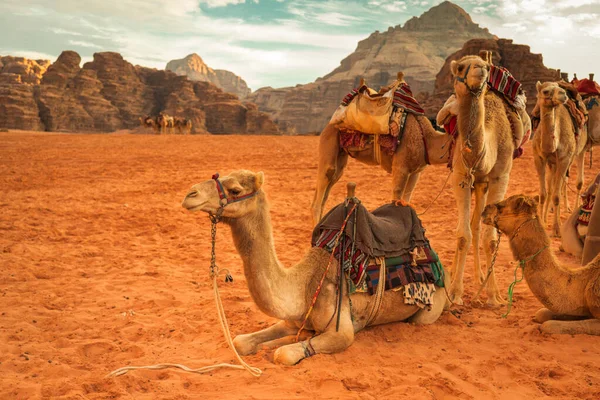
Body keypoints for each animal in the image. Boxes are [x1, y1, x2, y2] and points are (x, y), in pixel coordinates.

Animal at [180, 170, 448, 364]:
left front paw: (281, 346)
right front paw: (266, 343)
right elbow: (240, 342)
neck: (305, 286)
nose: (190, 194)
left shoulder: (342, 332)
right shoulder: (292, 319)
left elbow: (284, 354)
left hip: (428, 311)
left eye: (235, 189)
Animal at [450, 55, 516, 306]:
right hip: (475, 183)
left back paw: (481, 280)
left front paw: (494, 295)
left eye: (487, 66)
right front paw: (455, 293)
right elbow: (462, 235)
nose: (480, 69)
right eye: (460, 67)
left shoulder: (500, 177)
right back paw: (456, 277)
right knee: (470, 226)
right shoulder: (461, 176)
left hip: (483, 185)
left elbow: (491, 238)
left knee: (478, 225)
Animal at [536, 82, 584, 236]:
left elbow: (556, 195)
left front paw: (556, 229)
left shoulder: (564, 159)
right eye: (545, 91)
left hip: (569, 158)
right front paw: (542, 223)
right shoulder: (538, 158)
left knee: (563, 184)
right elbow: (543, 194)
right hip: (552, 164)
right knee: (551, 187)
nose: (563, 95)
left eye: (559, 89)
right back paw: (546, 216)